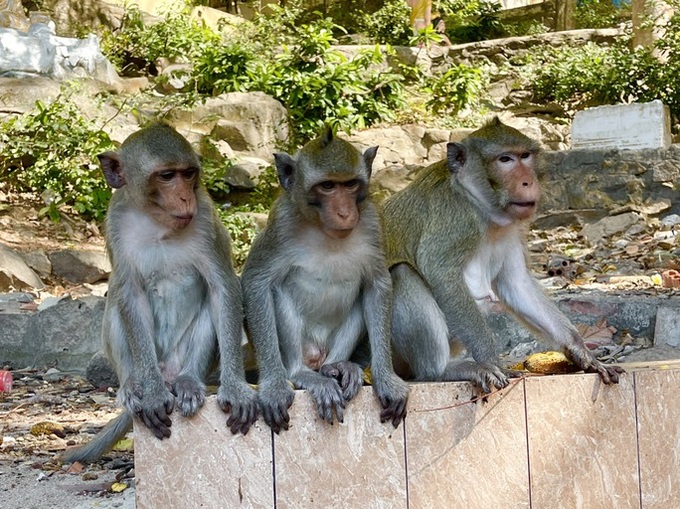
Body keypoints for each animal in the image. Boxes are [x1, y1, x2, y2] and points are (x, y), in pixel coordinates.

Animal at [60, 122, 258, 460]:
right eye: (166, 176)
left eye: (188, 174)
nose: (185, 198)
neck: (158, 223)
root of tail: (169, 373)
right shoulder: (116, 220)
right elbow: (130, 294)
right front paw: (151, 393)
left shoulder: (205, 218)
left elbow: (223, 289)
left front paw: (235, 387)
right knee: (115, 298)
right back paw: (133, 385)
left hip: (181, 359)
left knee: (210, 306)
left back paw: (189, 382)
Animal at [240, 125, 406, 430]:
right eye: (327, 186)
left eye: (350, 185)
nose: (345, 212)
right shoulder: (281, 222)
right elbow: (257, 282)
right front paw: (273, 387)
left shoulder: (372, 220)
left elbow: (377, 285)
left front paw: (386, 379)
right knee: (276, 292)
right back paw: (301, 374)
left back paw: (338, 366)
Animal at [380, 118, 624, 388]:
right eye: (505, 159)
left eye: (525, 156)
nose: (528, 181)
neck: (480, 205)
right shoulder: (456, 217)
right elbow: (441, 273)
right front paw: (489, 361)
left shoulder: (511, 231)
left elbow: (517, 285)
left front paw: (580, 350)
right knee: (402, 274)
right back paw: (440, 371)